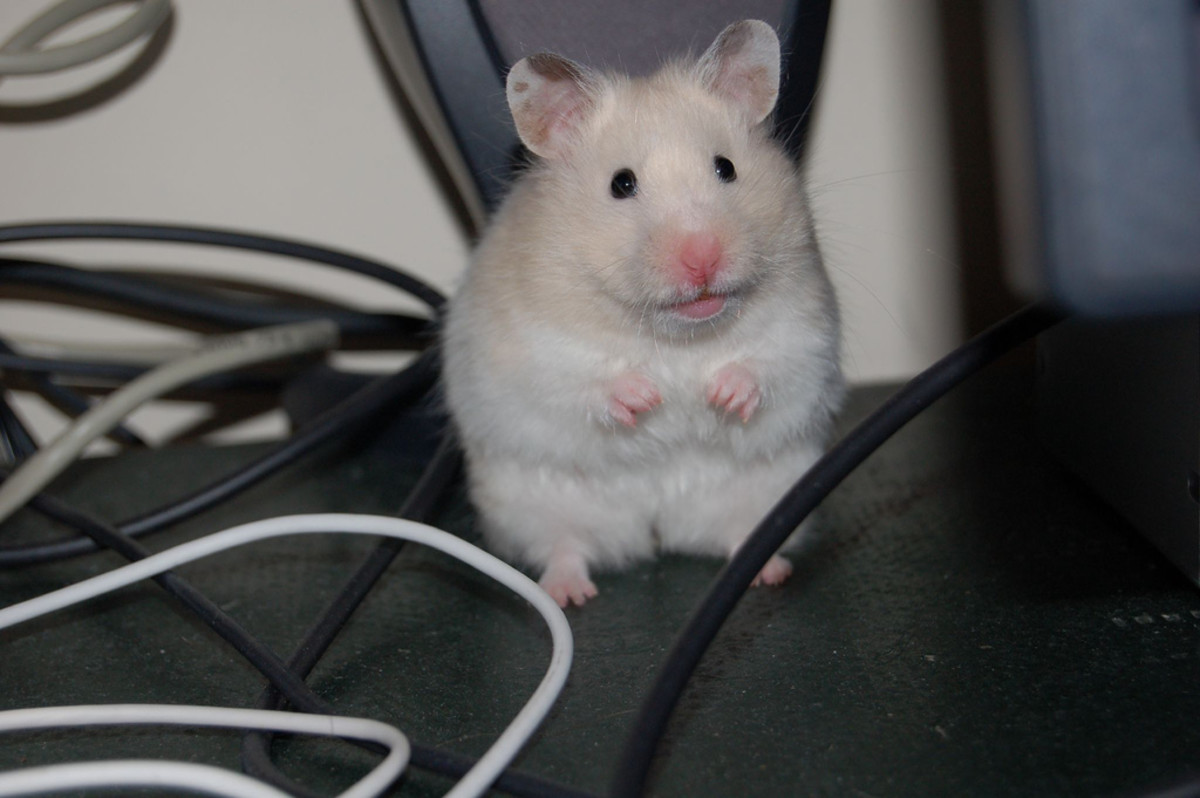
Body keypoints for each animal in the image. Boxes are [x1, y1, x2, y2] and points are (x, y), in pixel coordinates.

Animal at [441, 20, 843, 607]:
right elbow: (577, 379)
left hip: (773, 494)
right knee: (564, 546)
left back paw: (766, 573)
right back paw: (568, 594)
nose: (703, 258)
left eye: (726, 168)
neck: (674, 334)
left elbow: (771, 362)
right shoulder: (527, 348)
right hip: (529, 505)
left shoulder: (806, 325)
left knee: (739, 535)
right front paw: (648, 397)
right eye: (621, 183)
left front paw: (720, 395)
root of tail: (654, 526)